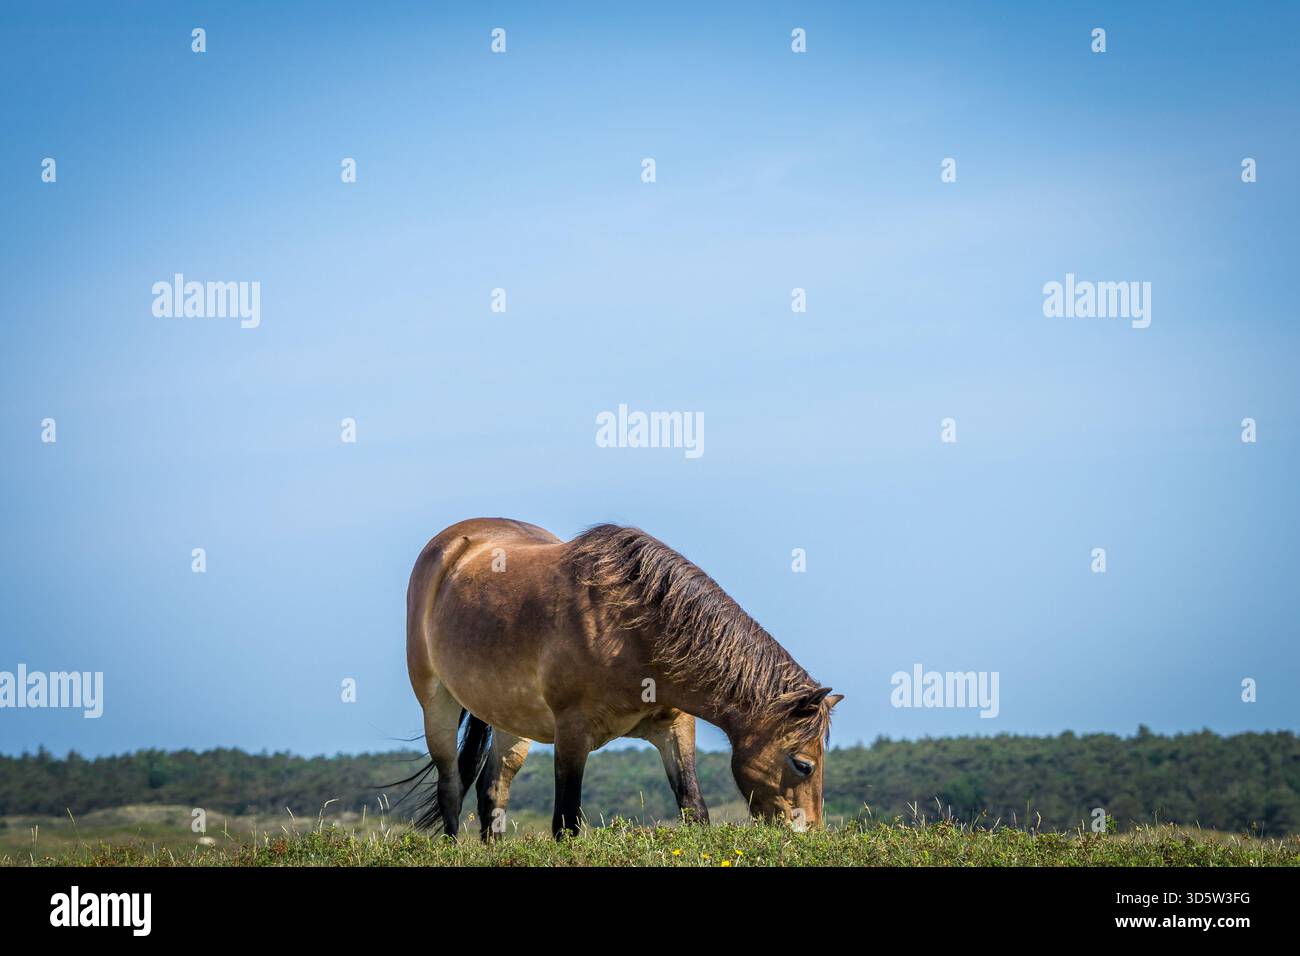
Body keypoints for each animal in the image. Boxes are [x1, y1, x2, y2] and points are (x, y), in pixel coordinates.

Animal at [403, 517, 842, 839]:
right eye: (803, 764)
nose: (809, 835)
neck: (630, 628)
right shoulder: (572, 732)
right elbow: (567, 824)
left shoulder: (674, 727)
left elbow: (694, 809)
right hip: (437, 704)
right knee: (450, 787)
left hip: (511, 719)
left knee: (493, 789)